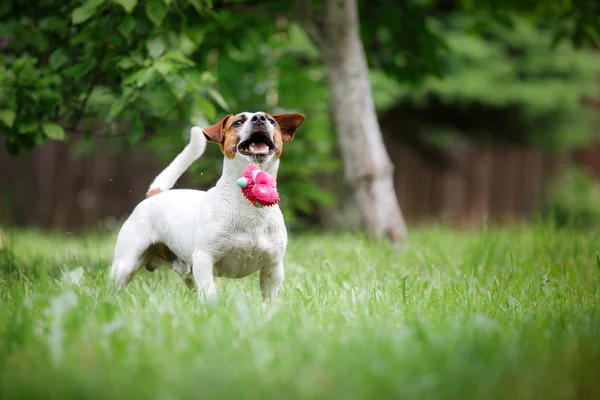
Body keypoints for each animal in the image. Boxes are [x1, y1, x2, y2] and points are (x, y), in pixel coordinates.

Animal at [108, 111, 304, 302]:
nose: (260, 118)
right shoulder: (204, 259)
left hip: (187, 271)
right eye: (238, 122)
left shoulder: (273, 267)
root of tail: (155, 194)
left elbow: (269, 300)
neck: (248, 207)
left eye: (271, 121)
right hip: (125, 264)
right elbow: (209, 294)